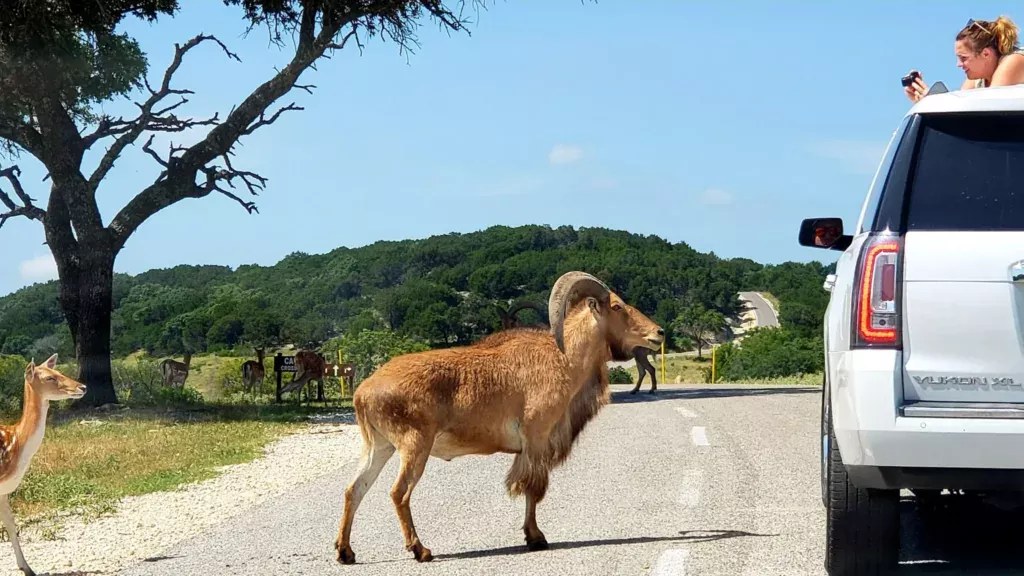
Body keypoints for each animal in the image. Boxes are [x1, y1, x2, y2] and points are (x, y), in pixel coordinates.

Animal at [1, 352, 86, 569]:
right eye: (49, 378)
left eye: (60, 371)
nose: (82, 387)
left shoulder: (3, 491)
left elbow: (11, 524)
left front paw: (27, 568)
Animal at [331, 268, 659, 561]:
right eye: (617, 306)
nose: (659, 333)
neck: (563, 357)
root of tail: (363, 391)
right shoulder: (537, 437)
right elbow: (533, 488)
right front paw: (536, 537)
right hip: (414, 445)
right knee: (398, 492)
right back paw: (420, 550)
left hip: (379, 446)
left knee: (353, 489)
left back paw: (346, 552)